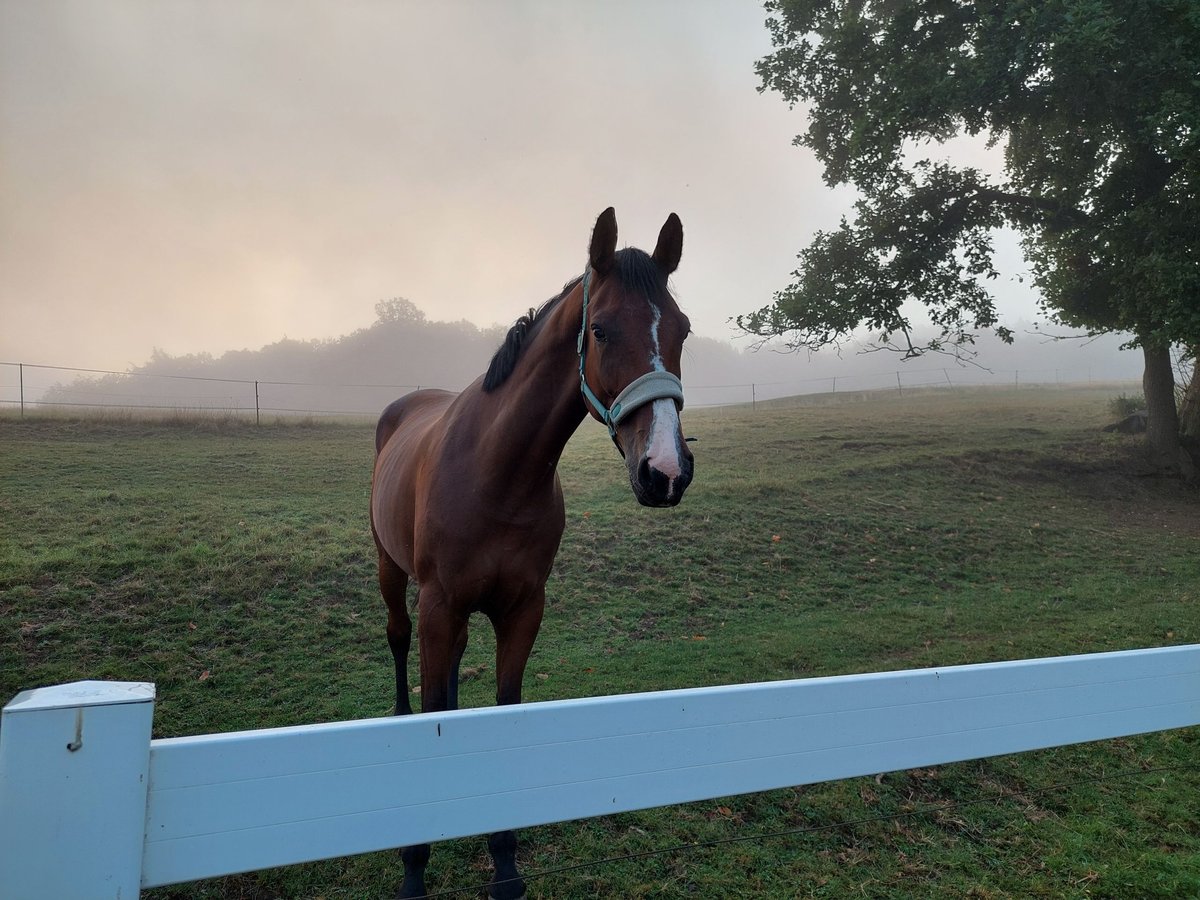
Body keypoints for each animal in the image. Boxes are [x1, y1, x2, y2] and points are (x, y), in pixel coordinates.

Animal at [372, 207, 696, 897]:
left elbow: (502, 708)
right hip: (392, 573)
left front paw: (504, 862)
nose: (665, 470)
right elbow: (431, 702)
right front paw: (414, 865)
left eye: (683, 329)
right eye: (600, 330)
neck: (497, 474)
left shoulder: (522, 611)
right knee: (399, 644)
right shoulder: (439, 604)